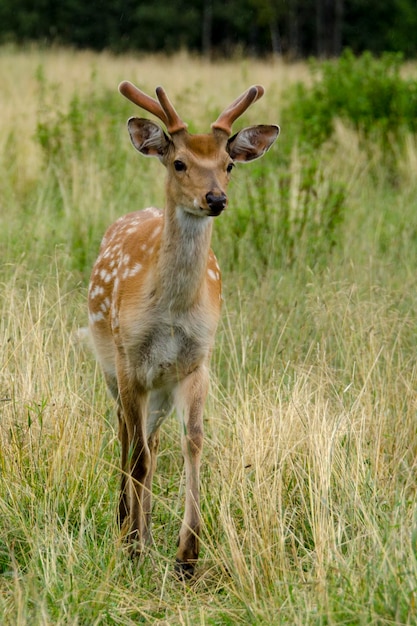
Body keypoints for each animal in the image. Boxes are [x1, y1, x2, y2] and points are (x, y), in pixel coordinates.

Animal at [87, 81, 280, 576]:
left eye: (229, 164)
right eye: (179, 162)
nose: (216, 199)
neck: (170, 312)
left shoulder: (196, 363)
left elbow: (192, 443)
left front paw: (187, 553)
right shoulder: (130, 360)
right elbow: (135, 455)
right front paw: (134, 545)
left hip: (159, 385)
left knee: (153, 445)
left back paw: (145, 529)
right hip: (112, 366)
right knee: (128, 438)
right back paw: (125, 524)